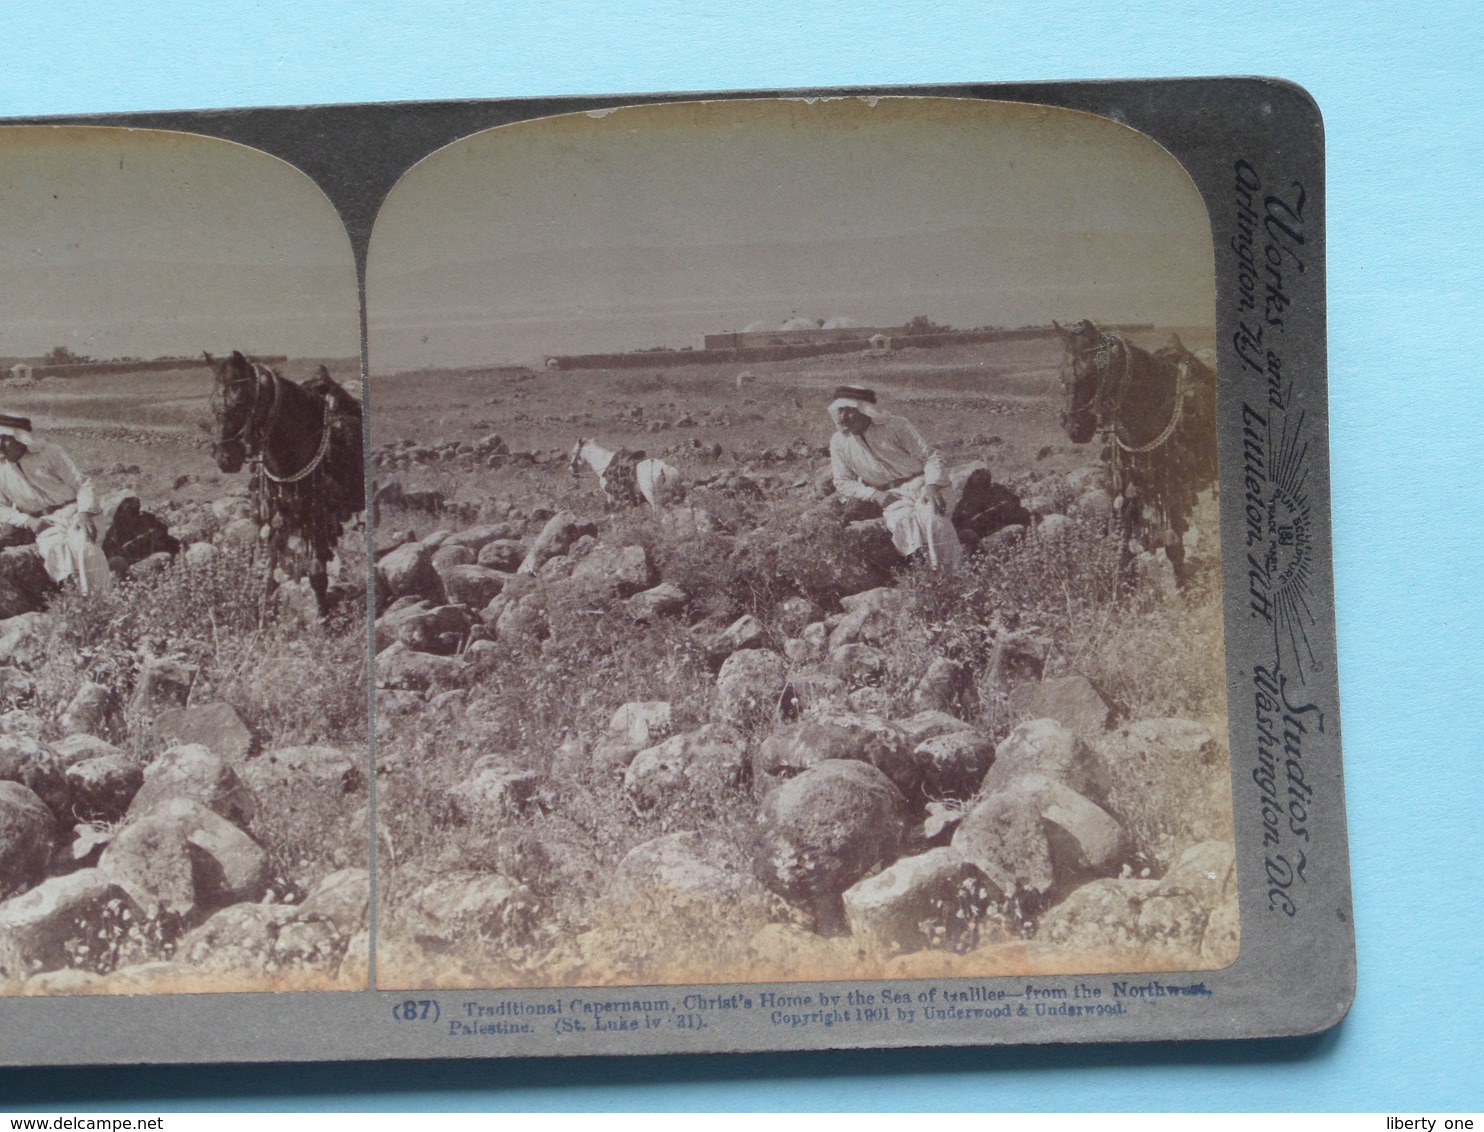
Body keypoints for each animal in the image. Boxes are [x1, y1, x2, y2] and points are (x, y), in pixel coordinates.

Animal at [206, 354, 365, 620]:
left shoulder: (316, 519)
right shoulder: (277, 514)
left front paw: (323, 617)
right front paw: (264, 611)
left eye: (239, 404)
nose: (224, 459)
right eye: (212, 405)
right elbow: (269, 569)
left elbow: (316, 573)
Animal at [1050, 320, 1210, 578]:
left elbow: (1174, 543)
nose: (1074, 428)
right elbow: (1122, 536)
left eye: (1091, 374)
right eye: (1061, 376)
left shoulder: (1169, 487)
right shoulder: (1129, 482)